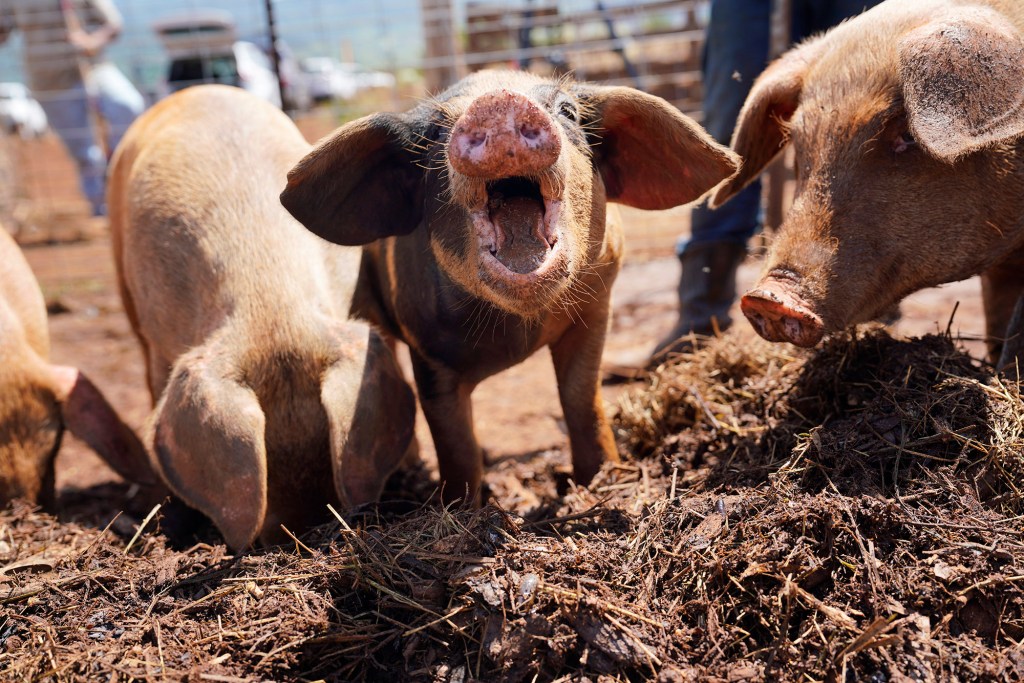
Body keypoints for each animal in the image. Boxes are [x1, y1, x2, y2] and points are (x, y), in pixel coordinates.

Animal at [280, 70, 740, 503]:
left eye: (568, 111)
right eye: (433, 134)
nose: (497, 102)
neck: (519, 332)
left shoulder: (596, 308)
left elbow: (581, 397)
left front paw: (601, 477)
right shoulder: (426, 347)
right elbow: (453, 438)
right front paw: (464, 506)